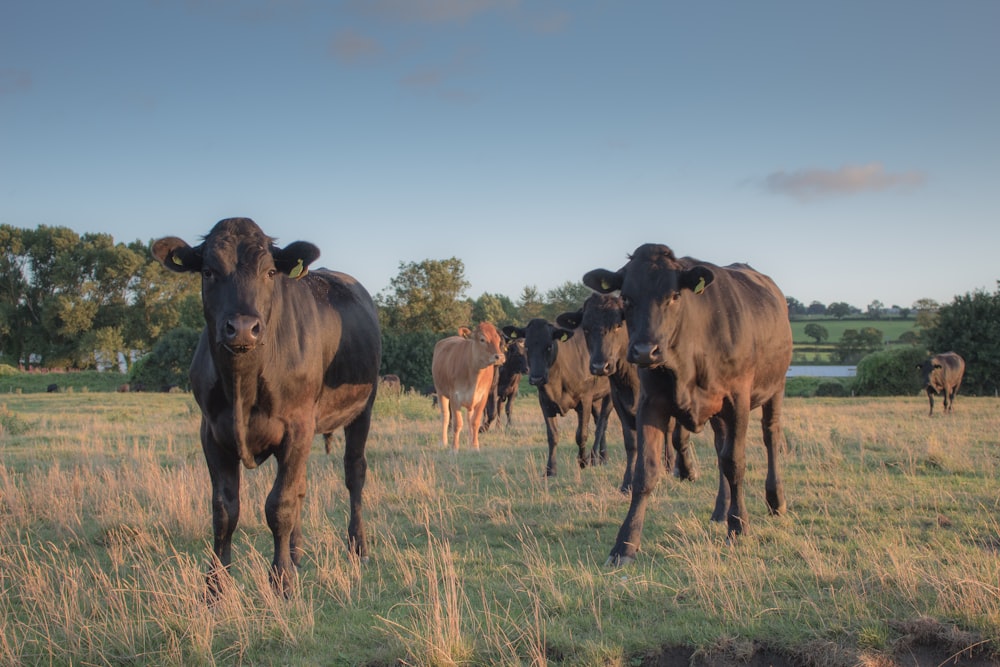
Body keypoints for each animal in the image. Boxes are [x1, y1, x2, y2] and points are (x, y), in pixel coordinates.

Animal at [432, 322, 508, 452]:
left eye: (498, 340)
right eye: (482, 339)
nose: (500, 357)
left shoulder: (483, 396)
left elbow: (475, 422)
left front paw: (474, 446)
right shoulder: (454, 397)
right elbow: (457, 423)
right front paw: (454, 448)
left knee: (469, 418)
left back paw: (469, 440)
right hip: (441, 392)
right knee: (445, 416)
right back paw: (443, 442)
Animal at [504, 318, 612, 474]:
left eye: (549, 346)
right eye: (527, 347)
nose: (536, 378)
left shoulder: (584, 399)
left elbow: (581, 434)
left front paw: (582, 462)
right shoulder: (545, 402)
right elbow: (552, 435)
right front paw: (550, 469)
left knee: (603, 422)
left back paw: (598, 458)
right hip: (596, 399)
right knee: (599, 420)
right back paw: (600, 458)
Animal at [552, 294, 700, 494]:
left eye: (617, 325)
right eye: (586, 328)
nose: (600, 366)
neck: (629, 380)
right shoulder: (619, 403)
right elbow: (631, 443)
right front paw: (627, 482)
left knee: (671, 432)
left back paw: (671, 466)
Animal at [584, 243, 788, 568]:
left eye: (674, 296)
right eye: (626, 297)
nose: (645, 350)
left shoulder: (738, 400)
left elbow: (736, 463)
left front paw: (739, 527)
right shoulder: (650, 404)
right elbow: (646, 471)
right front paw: (625, 544)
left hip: (775, 387)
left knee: (770, 437)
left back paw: (775, 500)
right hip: (719, 414)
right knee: (720, 449)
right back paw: (720, 510)